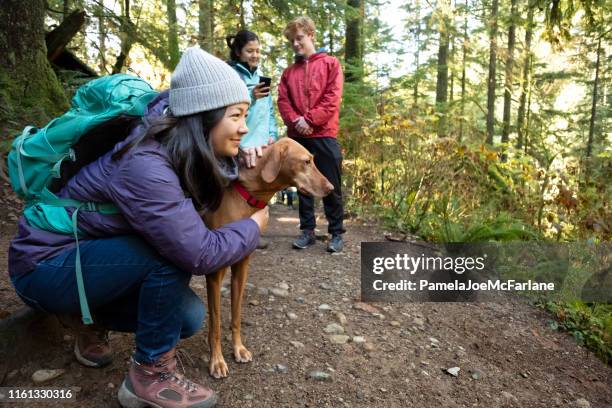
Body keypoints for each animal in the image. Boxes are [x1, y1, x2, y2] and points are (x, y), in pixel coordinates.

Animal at [203, 138, 332, 380]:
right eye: (307, 161)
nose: (331, 188)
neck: (247, 195)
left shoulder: (241, 269)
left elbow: (236, 316)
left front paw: (238, 348)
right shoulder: (214, 274)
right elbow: (215, 325)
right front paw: (217, 361)